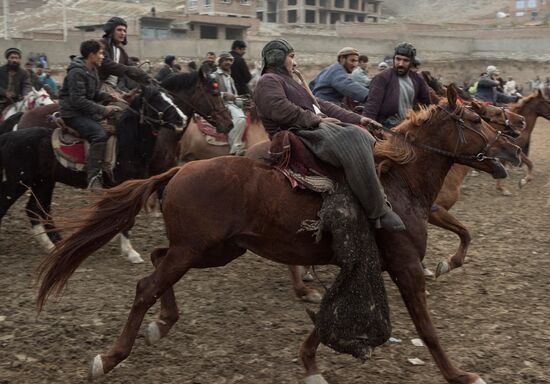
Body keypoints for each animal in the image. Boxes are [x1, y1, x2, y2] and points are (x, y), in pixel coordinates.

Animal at [37, 87, 520, 384]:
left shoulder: (363, 265)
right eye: (477, 116)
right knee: (145, 286)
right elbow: (428, 329)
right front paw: (461, 375)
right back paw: (110, 357)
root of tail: (179, 170)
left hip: (213, 250)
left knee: (157, 262)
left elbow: (327, 317)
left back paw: (162, 323)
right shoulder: (405, 268)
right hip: (196, 250)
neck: (398, 180)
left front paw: (309, 364)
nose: (514, 149)